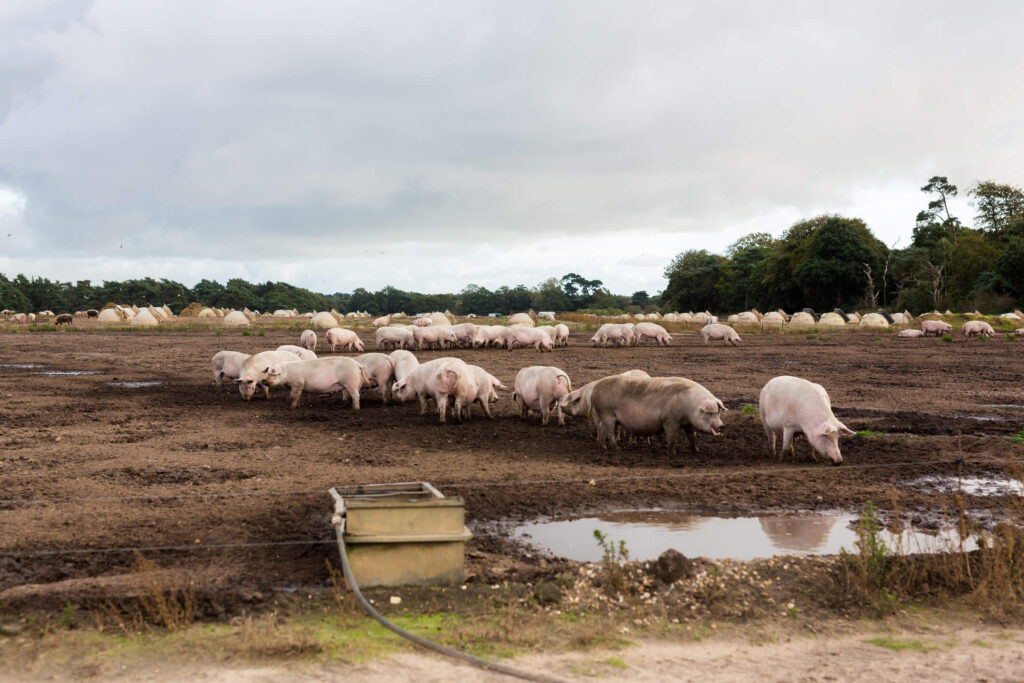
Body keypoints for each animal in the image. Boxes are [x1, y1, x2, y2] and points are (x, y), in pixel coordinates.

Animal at [589, 376, 724, 456]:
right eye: (710, 413)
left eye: (718, 412)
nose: (722, 426)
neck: (690, 406)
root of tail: (595, 389)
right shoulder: (670, 420)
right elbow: (672, 439)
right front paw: (673, 454)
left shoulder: (688, 425)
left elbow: (692, 438)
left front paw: (696, 451)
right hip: (607, 412)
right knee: (610, 433)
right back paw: (617, 449)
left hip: (604, 415)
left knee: (602, 430)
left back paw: (603, 447)